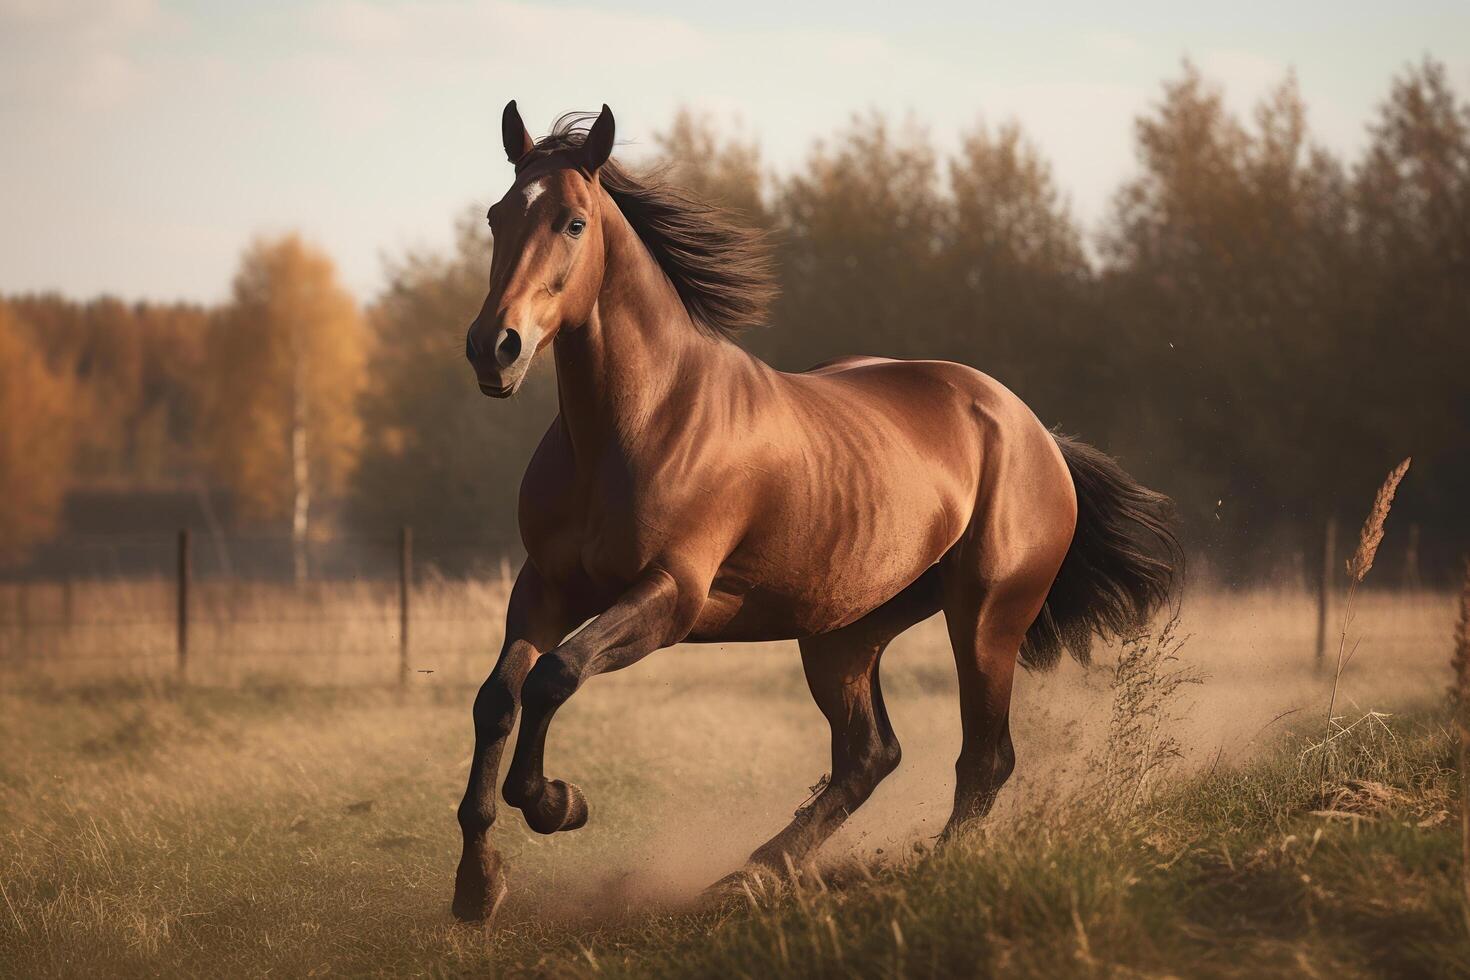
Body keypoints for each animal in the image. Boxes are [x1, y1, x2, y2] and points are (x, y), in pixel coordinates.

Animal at [452, 103, 1176, 922]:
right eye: (497, 215)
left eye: (573, 223)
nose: (495, 347)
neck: (636, 422)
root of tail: (1034, 432)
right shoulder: (544, 587)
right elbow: (498, 698)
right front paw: (478, 884)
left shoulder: (670, 596)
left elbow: (554, 676)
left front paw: (556, 802)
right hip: (845, 634)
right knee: (869, 756)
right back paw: (750, 875)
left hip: (987, 618)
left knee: (984, 758)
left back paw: (931, 874)